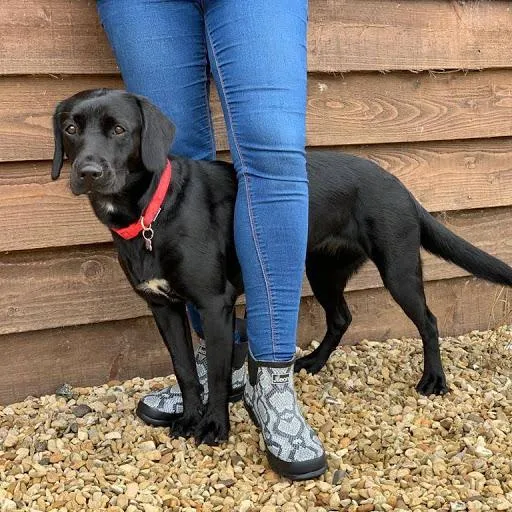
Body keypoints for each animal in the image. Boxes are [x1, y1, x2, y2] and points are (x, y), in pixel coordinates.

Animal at [52, 88, 512, 444]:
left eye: (119, 130)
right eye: (71, 129)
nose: (88, 172)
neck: (153, 212)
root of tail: (400, 185)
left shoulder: (215, 303)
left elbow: (216, 372)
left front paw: (214, 426)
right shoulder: (162, 305)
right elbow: (185, 370)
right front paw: (189, 417)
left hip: (397, 269)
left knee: (429, 321)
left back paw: (434, 380)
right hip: (322, 270)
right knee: (342, 317)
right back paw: (314, 363)